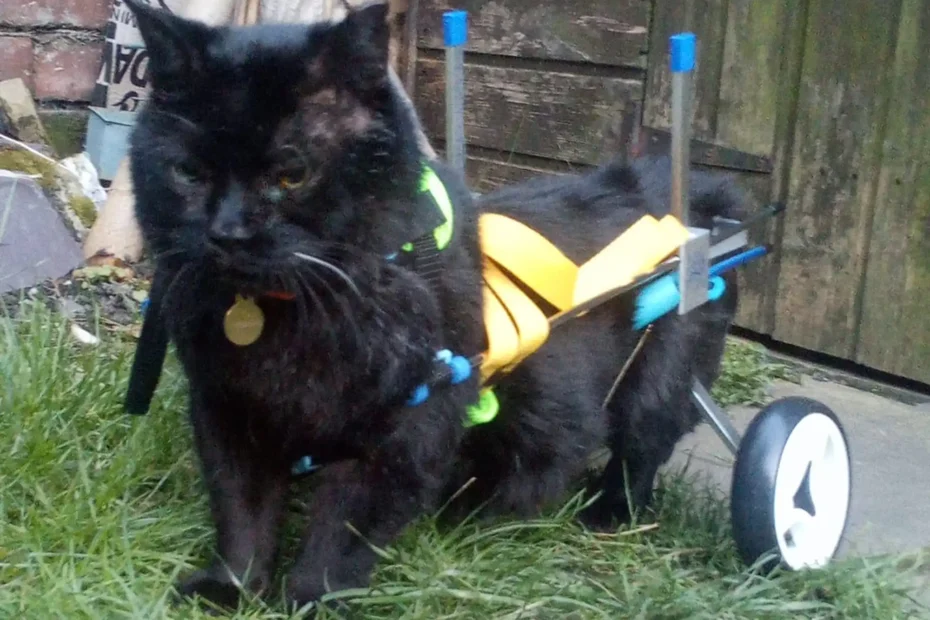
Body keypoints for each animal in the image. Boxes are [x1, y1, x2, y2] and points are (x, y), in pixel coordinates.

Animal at [125, 0, 740, 612]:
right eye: (187, 172)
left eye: (292, 173)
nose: (226, 233)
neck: (292, 316)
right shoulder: (227, 411)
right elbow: (241, 513)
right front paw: (229, 590)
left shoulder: (404, 430)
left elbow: (341, 531)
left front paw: (311, 601)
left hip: (660, 378)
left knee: (640, 450)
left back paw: (602, 511)